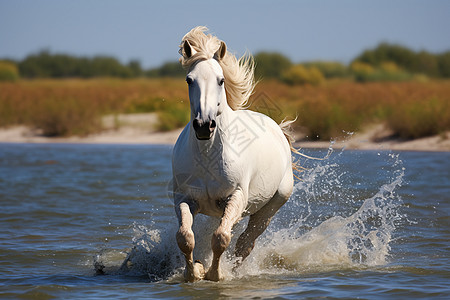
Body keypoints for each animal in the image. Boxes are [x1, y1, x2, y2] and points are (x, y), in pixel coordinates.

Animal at [171, 27, 296, 282]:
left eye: (220, 80)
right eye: (189, 80)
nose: (204, 126)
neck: (208, 155)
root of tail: (278, 130)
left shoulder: (235, 196)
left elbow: (221, 238)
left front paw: (215, 275)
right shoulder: (184, 198)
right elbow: (185, 238)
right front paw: (194, 272)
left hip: (268, 209)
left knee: (244, 244)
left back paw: (237, 271)